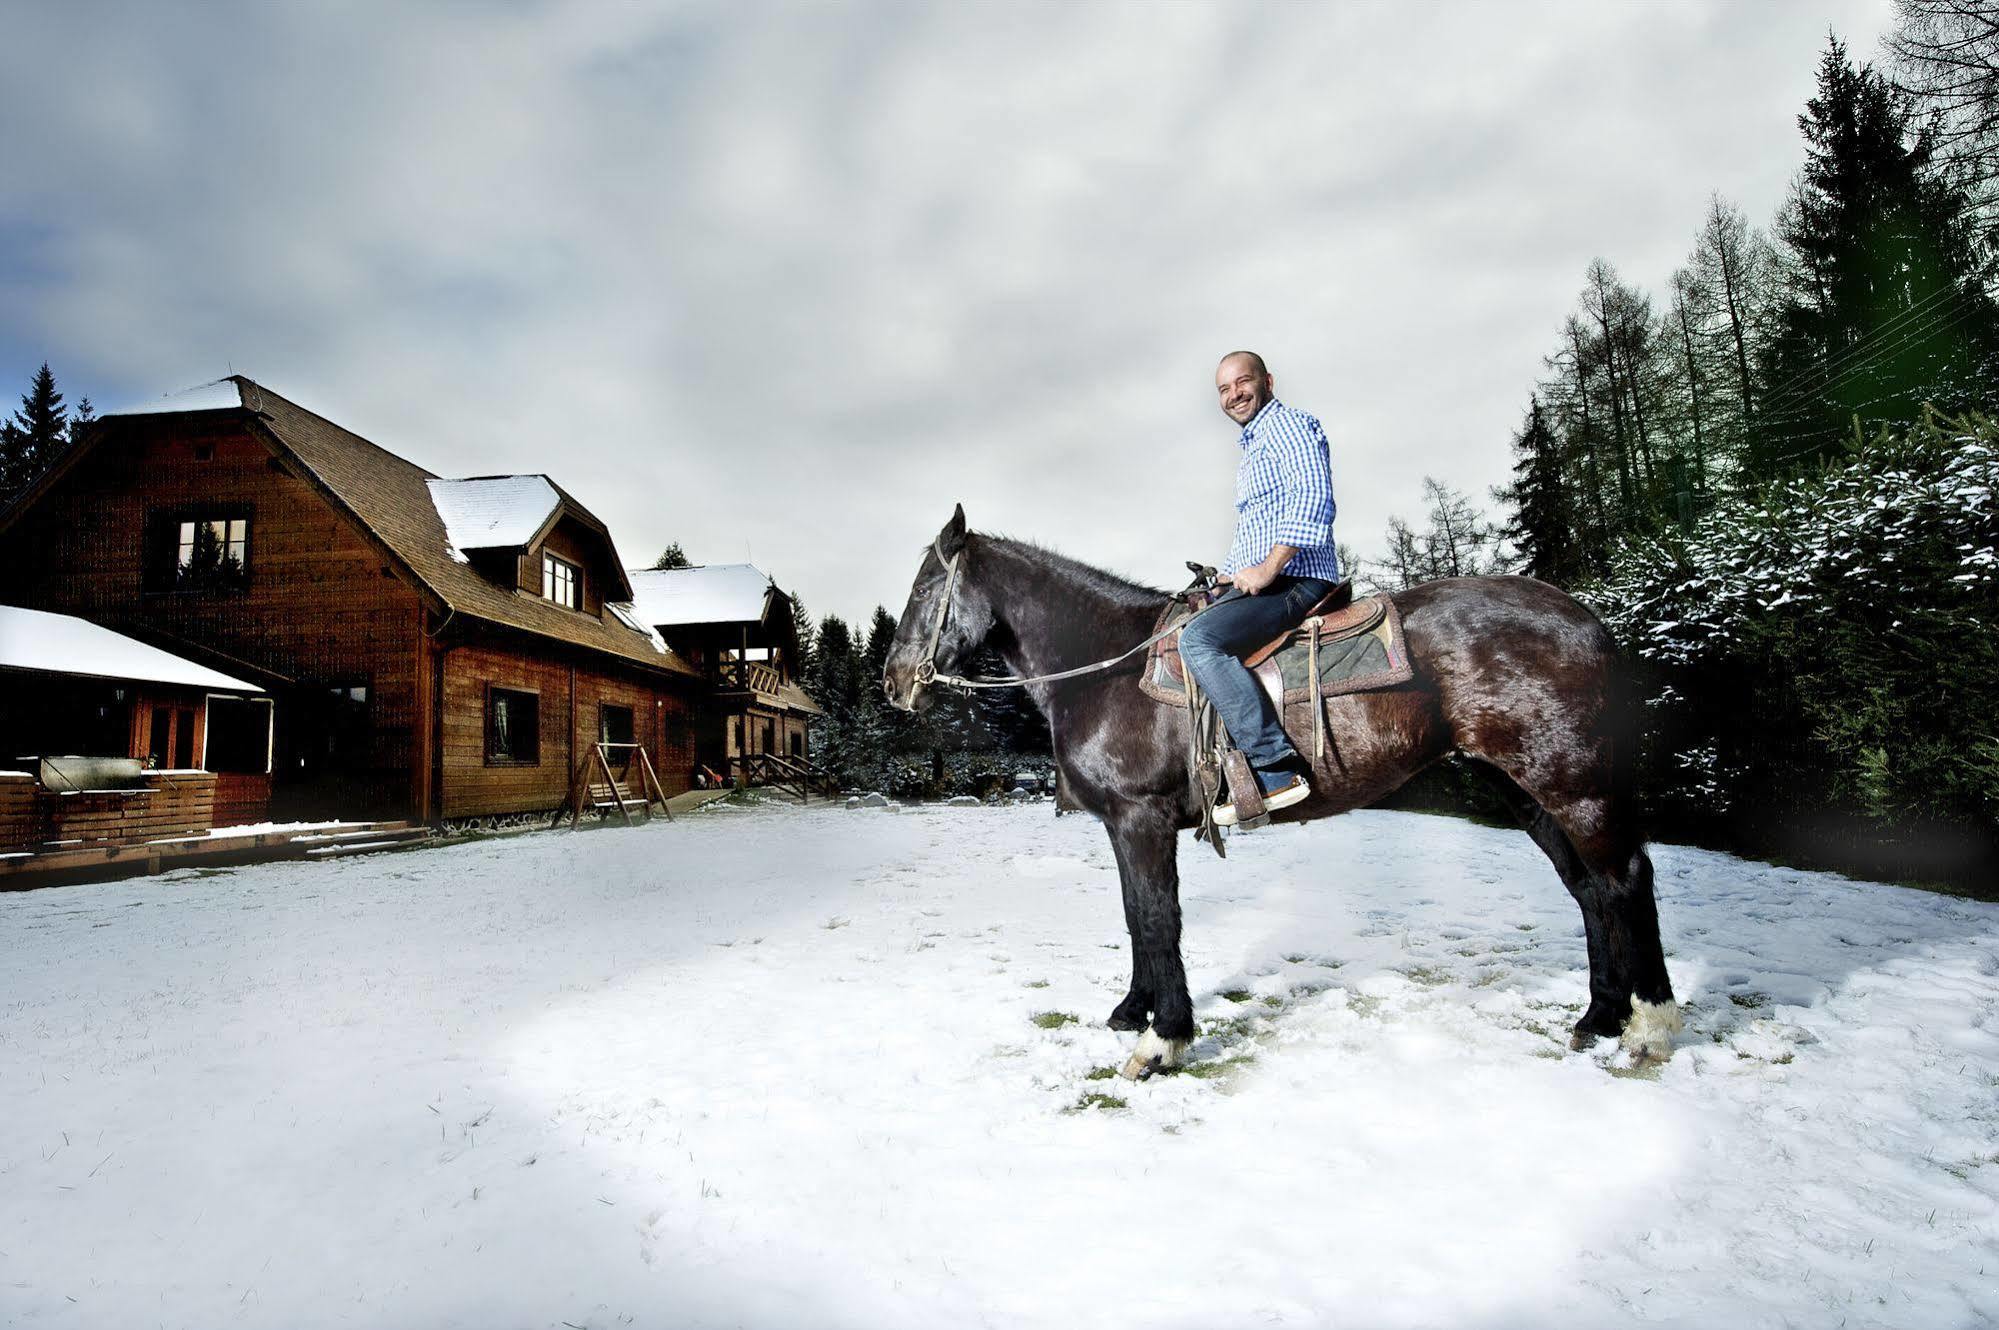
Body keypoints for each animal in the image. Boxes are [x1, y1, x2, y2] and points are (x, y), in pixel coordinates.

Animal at [883, 504, 1679, 1072]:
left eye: (924, 589)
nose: (893, 682)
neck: (1109, 668)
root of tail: (1584, 619)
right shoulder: (1122, 825)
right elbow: (1136, 916)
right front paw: (1134, 1010)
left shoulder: (1141, 821)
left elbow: (1159, 919)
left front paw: (1163, 1039)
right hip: (1524, 790)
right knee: (1589, 887)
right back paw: (1600, 1016)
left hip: (1571, 782)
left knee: (1625, 879)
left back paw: (1650, 1027)